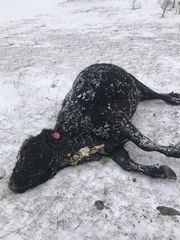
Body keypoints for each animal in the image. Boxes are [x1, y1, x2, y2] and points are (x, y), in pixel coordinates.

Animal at [9, 63, 180, 193]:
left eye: (26, 155)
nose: (11, 185)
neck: (75, 134)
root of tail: (98, 64)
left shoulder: (120, 122)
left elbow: (145, 144)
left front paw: (175, 152)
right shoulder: (114, 149)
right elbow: (128, 165)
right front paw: (160, 171)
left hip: (137, 85)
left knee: (157, 94)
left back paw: (173, 98)